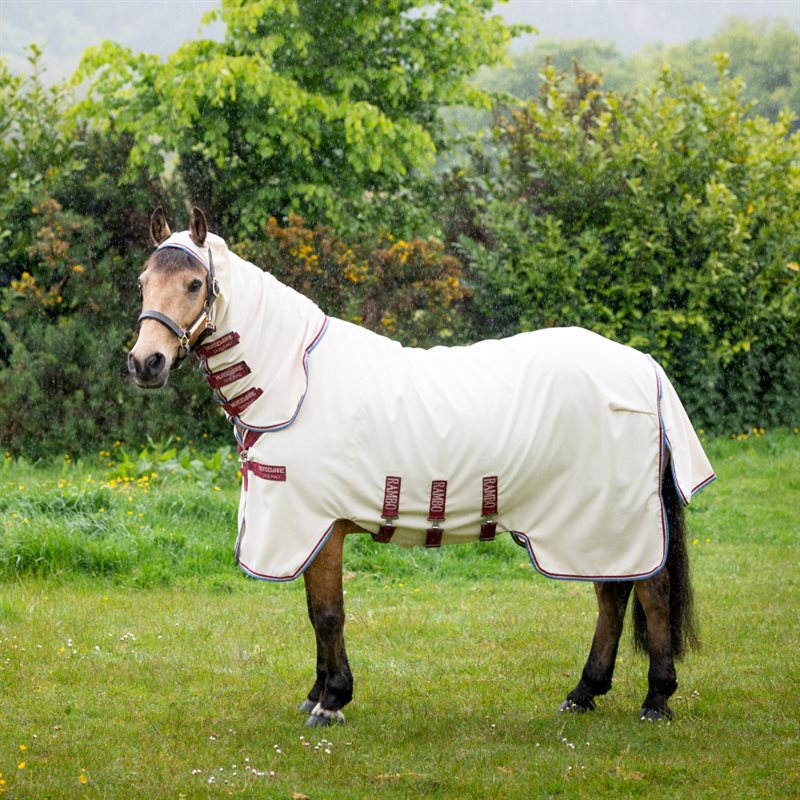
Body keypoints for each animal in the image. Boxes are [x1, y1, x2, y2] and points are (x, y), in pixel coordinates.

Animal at [128, 207, 715, 727]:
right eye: (143, 281)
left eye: (195, 284)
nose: (145, 363)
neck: (296, 382)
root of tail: (644, 366)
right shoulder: (309, 530)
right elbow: (316, 614)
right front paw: (318, 691)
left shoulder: (320, 525)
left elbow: (328, 614)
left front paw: (332, 701)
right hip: (592, 522)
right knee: (613, 594)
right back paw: (584, 692)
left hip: (614, 515)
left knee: (651, 592)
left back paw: (656, 699)